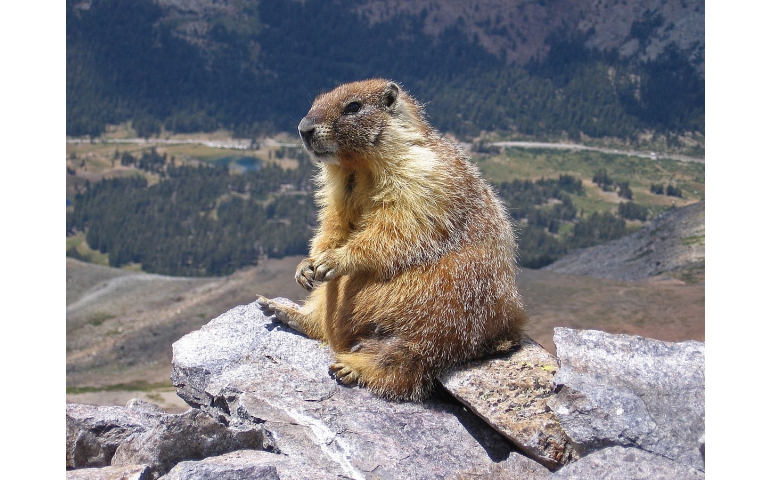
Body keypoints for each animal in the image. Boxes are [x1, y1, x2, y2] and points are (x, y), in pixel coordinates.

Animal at [257, 79, 527, 401]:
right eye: (315, 101)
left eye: (353, 107)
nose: (303, 128)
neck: (359, 167)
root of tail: (506, 328)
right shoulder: (340, 189)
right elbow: (335, 221)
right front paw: (307, 264)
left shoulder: (420, 177)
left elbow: (395, 225)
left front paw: (336, 259)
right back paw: (289, 313)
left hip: (445, 301)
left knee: (411, 354)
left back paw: (355, 367)